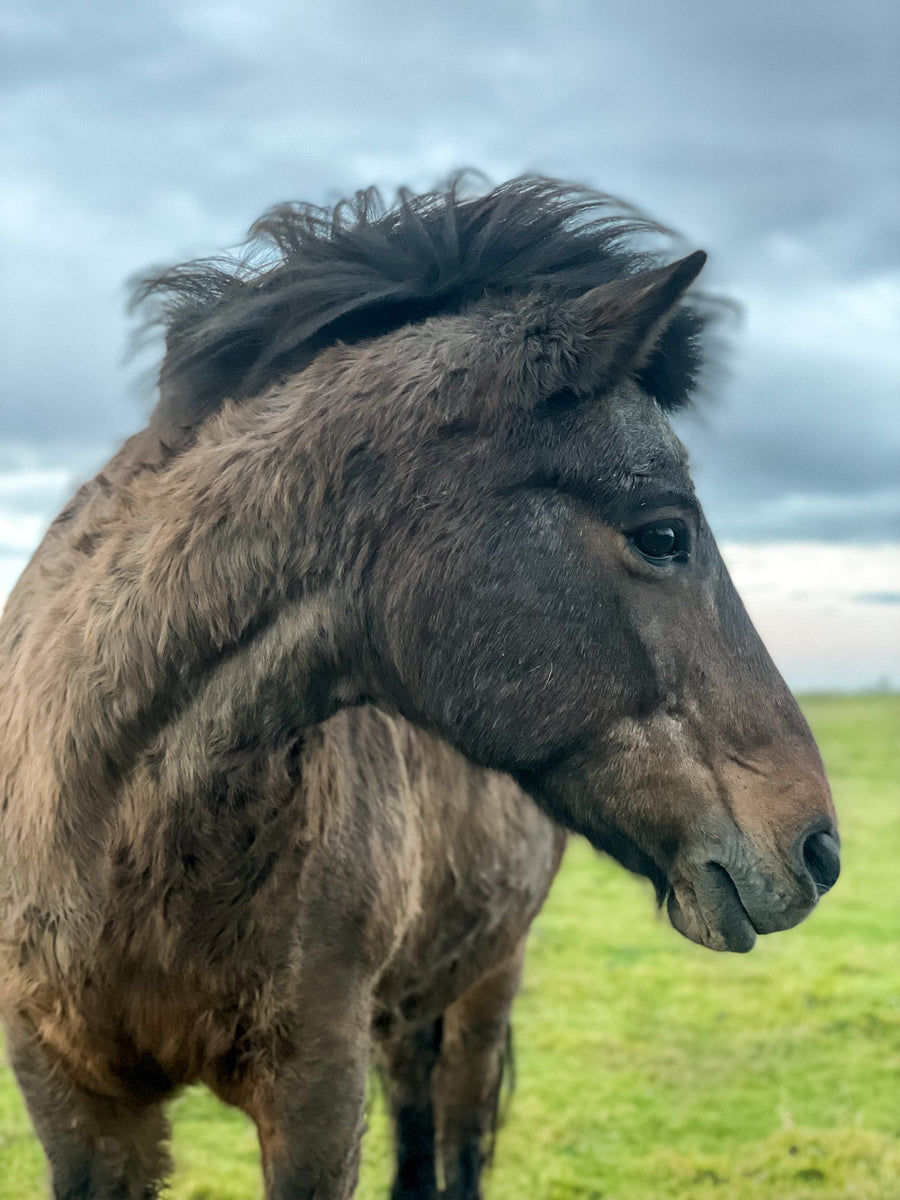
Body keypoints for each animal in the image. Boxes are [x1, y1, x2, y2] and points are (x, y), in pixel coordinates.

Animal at [0, 177, 839, 1200]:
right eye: (665, 534)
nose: (817, 848)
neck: (123, 840)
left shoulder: (319, 1091)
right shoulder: (72, 1096)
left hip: (487, 984)